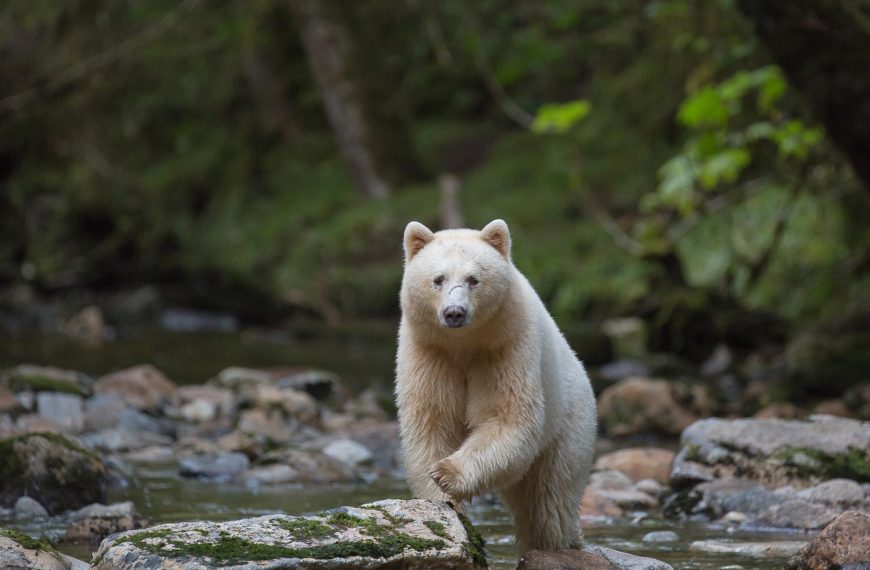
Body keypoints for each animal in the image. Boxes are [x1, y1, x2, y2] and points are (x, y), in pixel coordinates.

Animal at [395, 219, 598, 554]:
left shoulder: (506, 347)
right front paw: (440, 500)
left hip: (568, 426)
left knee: (547, 502)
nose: (454, 312)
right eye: (438, 278)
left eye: (473, 279)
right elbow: (431, 422)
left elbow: (508, 418)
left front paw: (446, 473)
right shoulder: (429, 353)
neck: (464, 344)